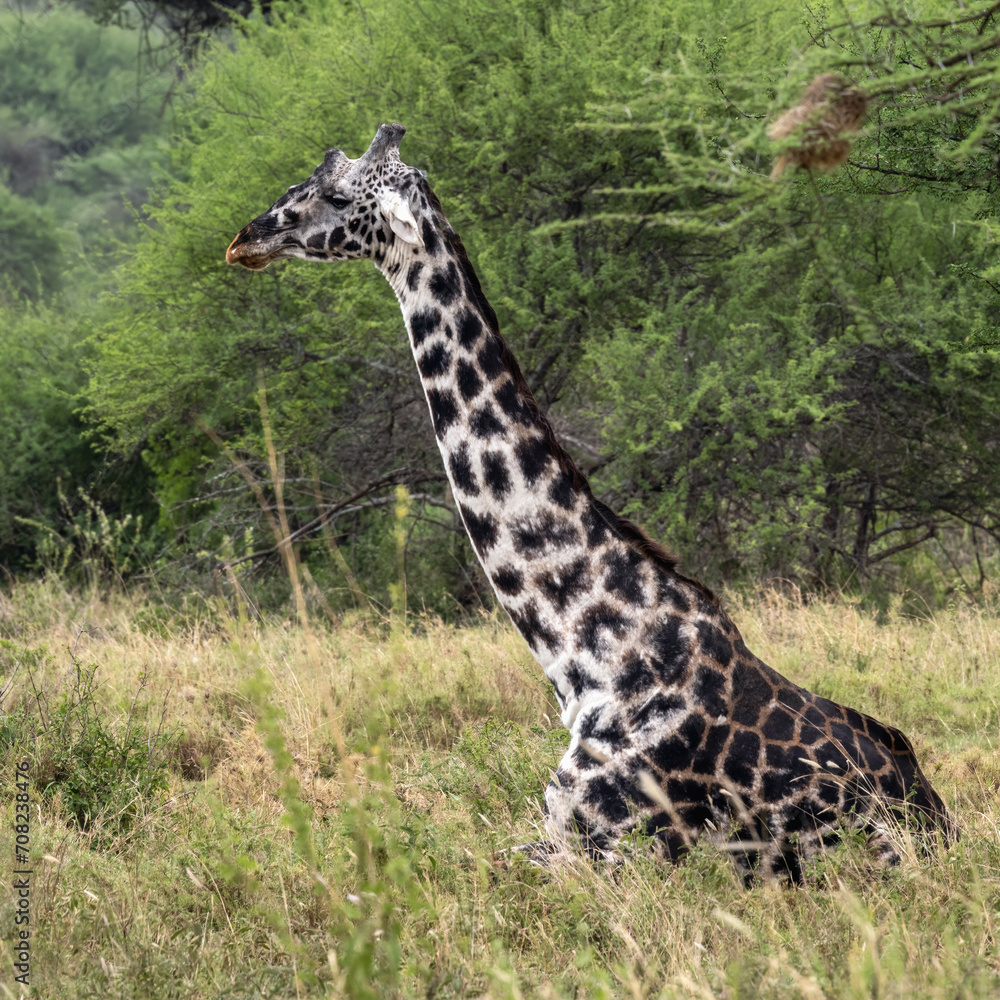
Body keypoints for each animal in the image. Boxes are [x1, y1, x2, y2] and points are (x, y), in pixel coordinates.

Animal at [226, 123, 956, 879]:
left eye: (342, 196)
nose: (244, 240)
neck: (587, 654)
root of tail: (941, 820)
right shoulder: (556, 830)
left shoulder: (602, 850)